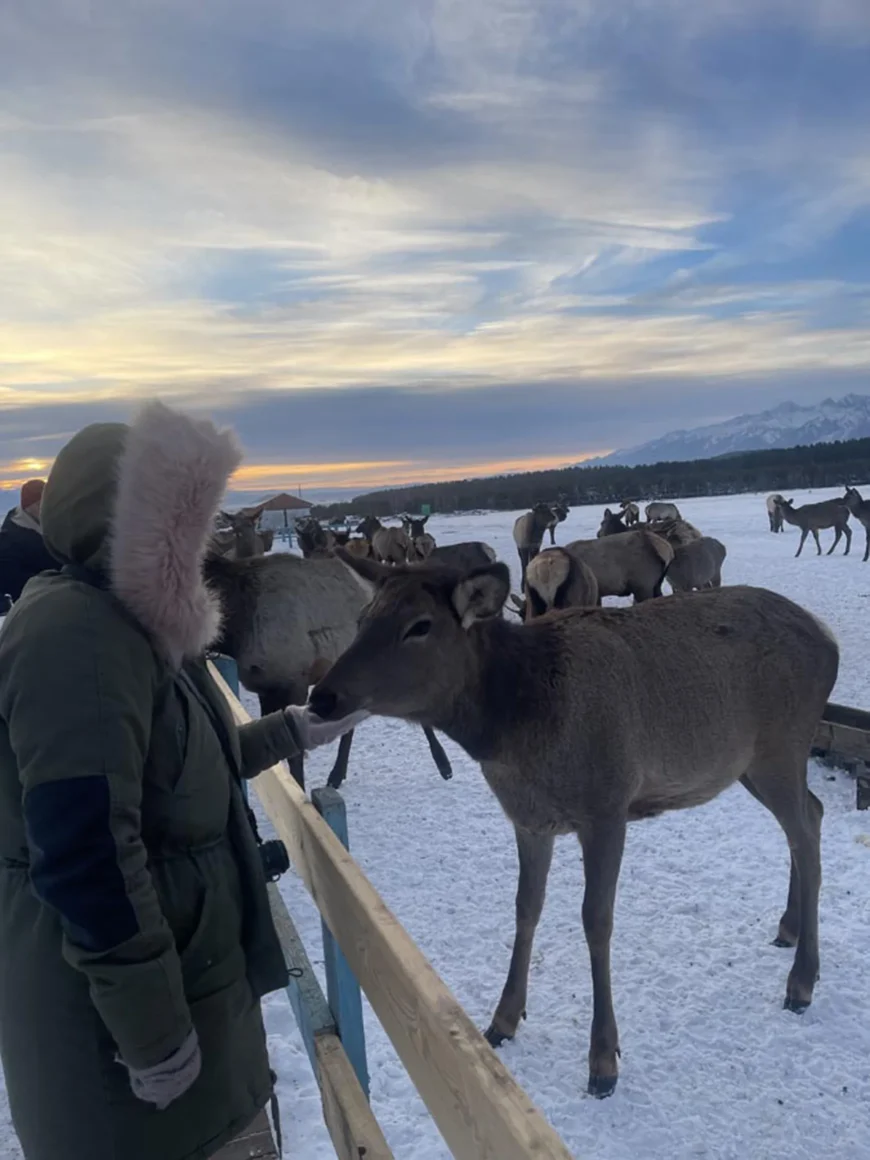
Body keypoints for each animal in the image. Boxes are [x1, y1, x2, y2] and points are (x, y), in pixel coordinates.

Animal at [310, 556, 839, 1099]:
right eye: (363, 619)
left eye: (420, 625)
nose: (323, 696)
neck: (516, 731)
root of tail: (828, 638)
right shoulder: (529, 820)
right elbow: (526, 907)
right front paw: (503, 1019)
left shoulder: (607, 806)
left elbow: (596, 920)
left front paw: (602, 1060)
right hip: (751, 765)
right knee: (810, 816)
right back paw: (788, 927)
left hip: (781, 748)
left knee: (807, 830)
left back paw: (801, 982)